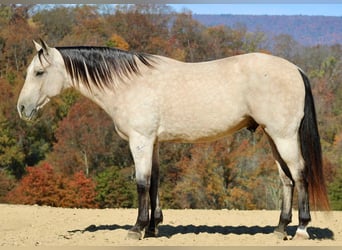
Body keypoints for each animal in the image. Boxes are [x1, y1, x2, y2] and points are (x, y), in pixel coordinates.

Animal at [17, 40, 330, 241]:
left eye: (39, 72)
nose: (22, 109)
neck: (128, 84)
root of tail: (296, 70)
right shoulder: (153, 142)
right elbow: (155, 181)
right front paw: (153, 227)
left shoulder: (140, 141)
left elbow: (142, 183)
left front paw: (137, 228)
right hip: (272, 138)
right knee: (286, 179)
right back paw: (279, 229)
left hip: (283, 137)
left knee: (300, 174)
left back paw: (302, 229)